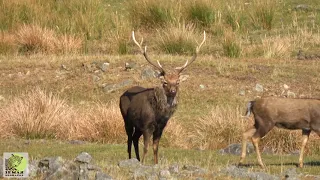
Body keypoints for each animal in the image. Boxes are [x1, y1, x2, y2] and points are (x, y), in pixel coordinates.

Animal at [119, 31, 205, 165]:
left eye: (178, 82)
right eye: (165, 82)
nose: (173, 91)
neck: (158, 115)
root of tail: (122, 94)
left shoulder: (161, 127)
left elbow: (155, 147)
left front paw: (155, 163)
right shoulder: (147, 125)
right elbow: (146, 147)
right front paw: (143, 163)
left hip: (137, 126)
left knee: (134, 138)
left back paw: (136, 159)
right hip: (126, 119)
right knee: (129, 139)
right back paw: (130, 159)